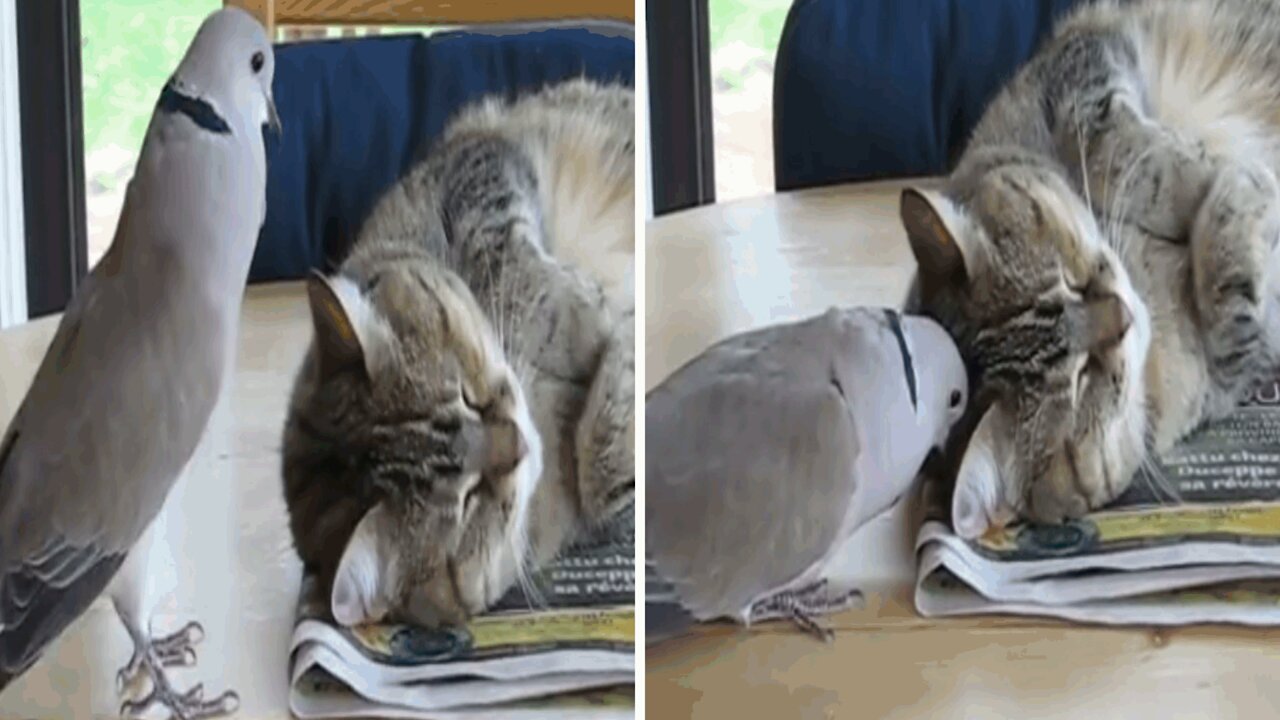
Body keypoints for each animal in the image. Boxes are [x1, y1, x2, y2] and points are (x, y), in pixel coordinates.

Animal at [284, 78, 634, 625]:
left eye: (471, 397)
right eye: (470, 501)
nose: (519, 442)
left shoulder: (476, 161)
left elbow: (511, 261)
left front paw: (589, 319)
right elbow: (607, 492)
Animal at [901, 0, 1280, 535]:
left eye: (1070, 280)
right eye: (1083, 381)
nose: (1124, 314)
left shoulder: (1081, 60)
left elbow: (1117, 154)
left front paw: (1221, 178)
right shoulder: (1236, 371)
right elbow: (1233, 316)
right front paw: (1238, 193)